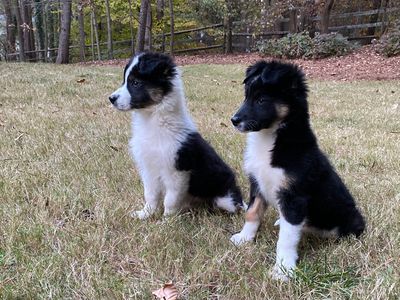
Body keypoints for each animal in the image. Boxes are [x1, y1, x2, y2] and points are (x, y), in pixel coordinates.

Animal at [108, 52, 244, 219]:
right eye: (125, 80)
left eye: (135, 83)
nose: (111, 98)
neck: (152, 120)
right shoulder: (149, 168)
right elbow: (150, 194)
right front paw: (146, 214)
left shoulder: (176, 172)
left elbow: (170, 199)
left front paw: (166, 220)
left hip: (226, 199)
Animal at [230, 61, 364, 282]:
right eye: (246, 96)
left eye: (262, 99)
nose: (234, 120)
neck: (270, 139)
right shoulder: (257, 184)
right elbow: (252, 213)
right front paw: (244, 238)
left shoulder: (294, 197)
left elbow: (286, 238)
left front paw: (283, 270)